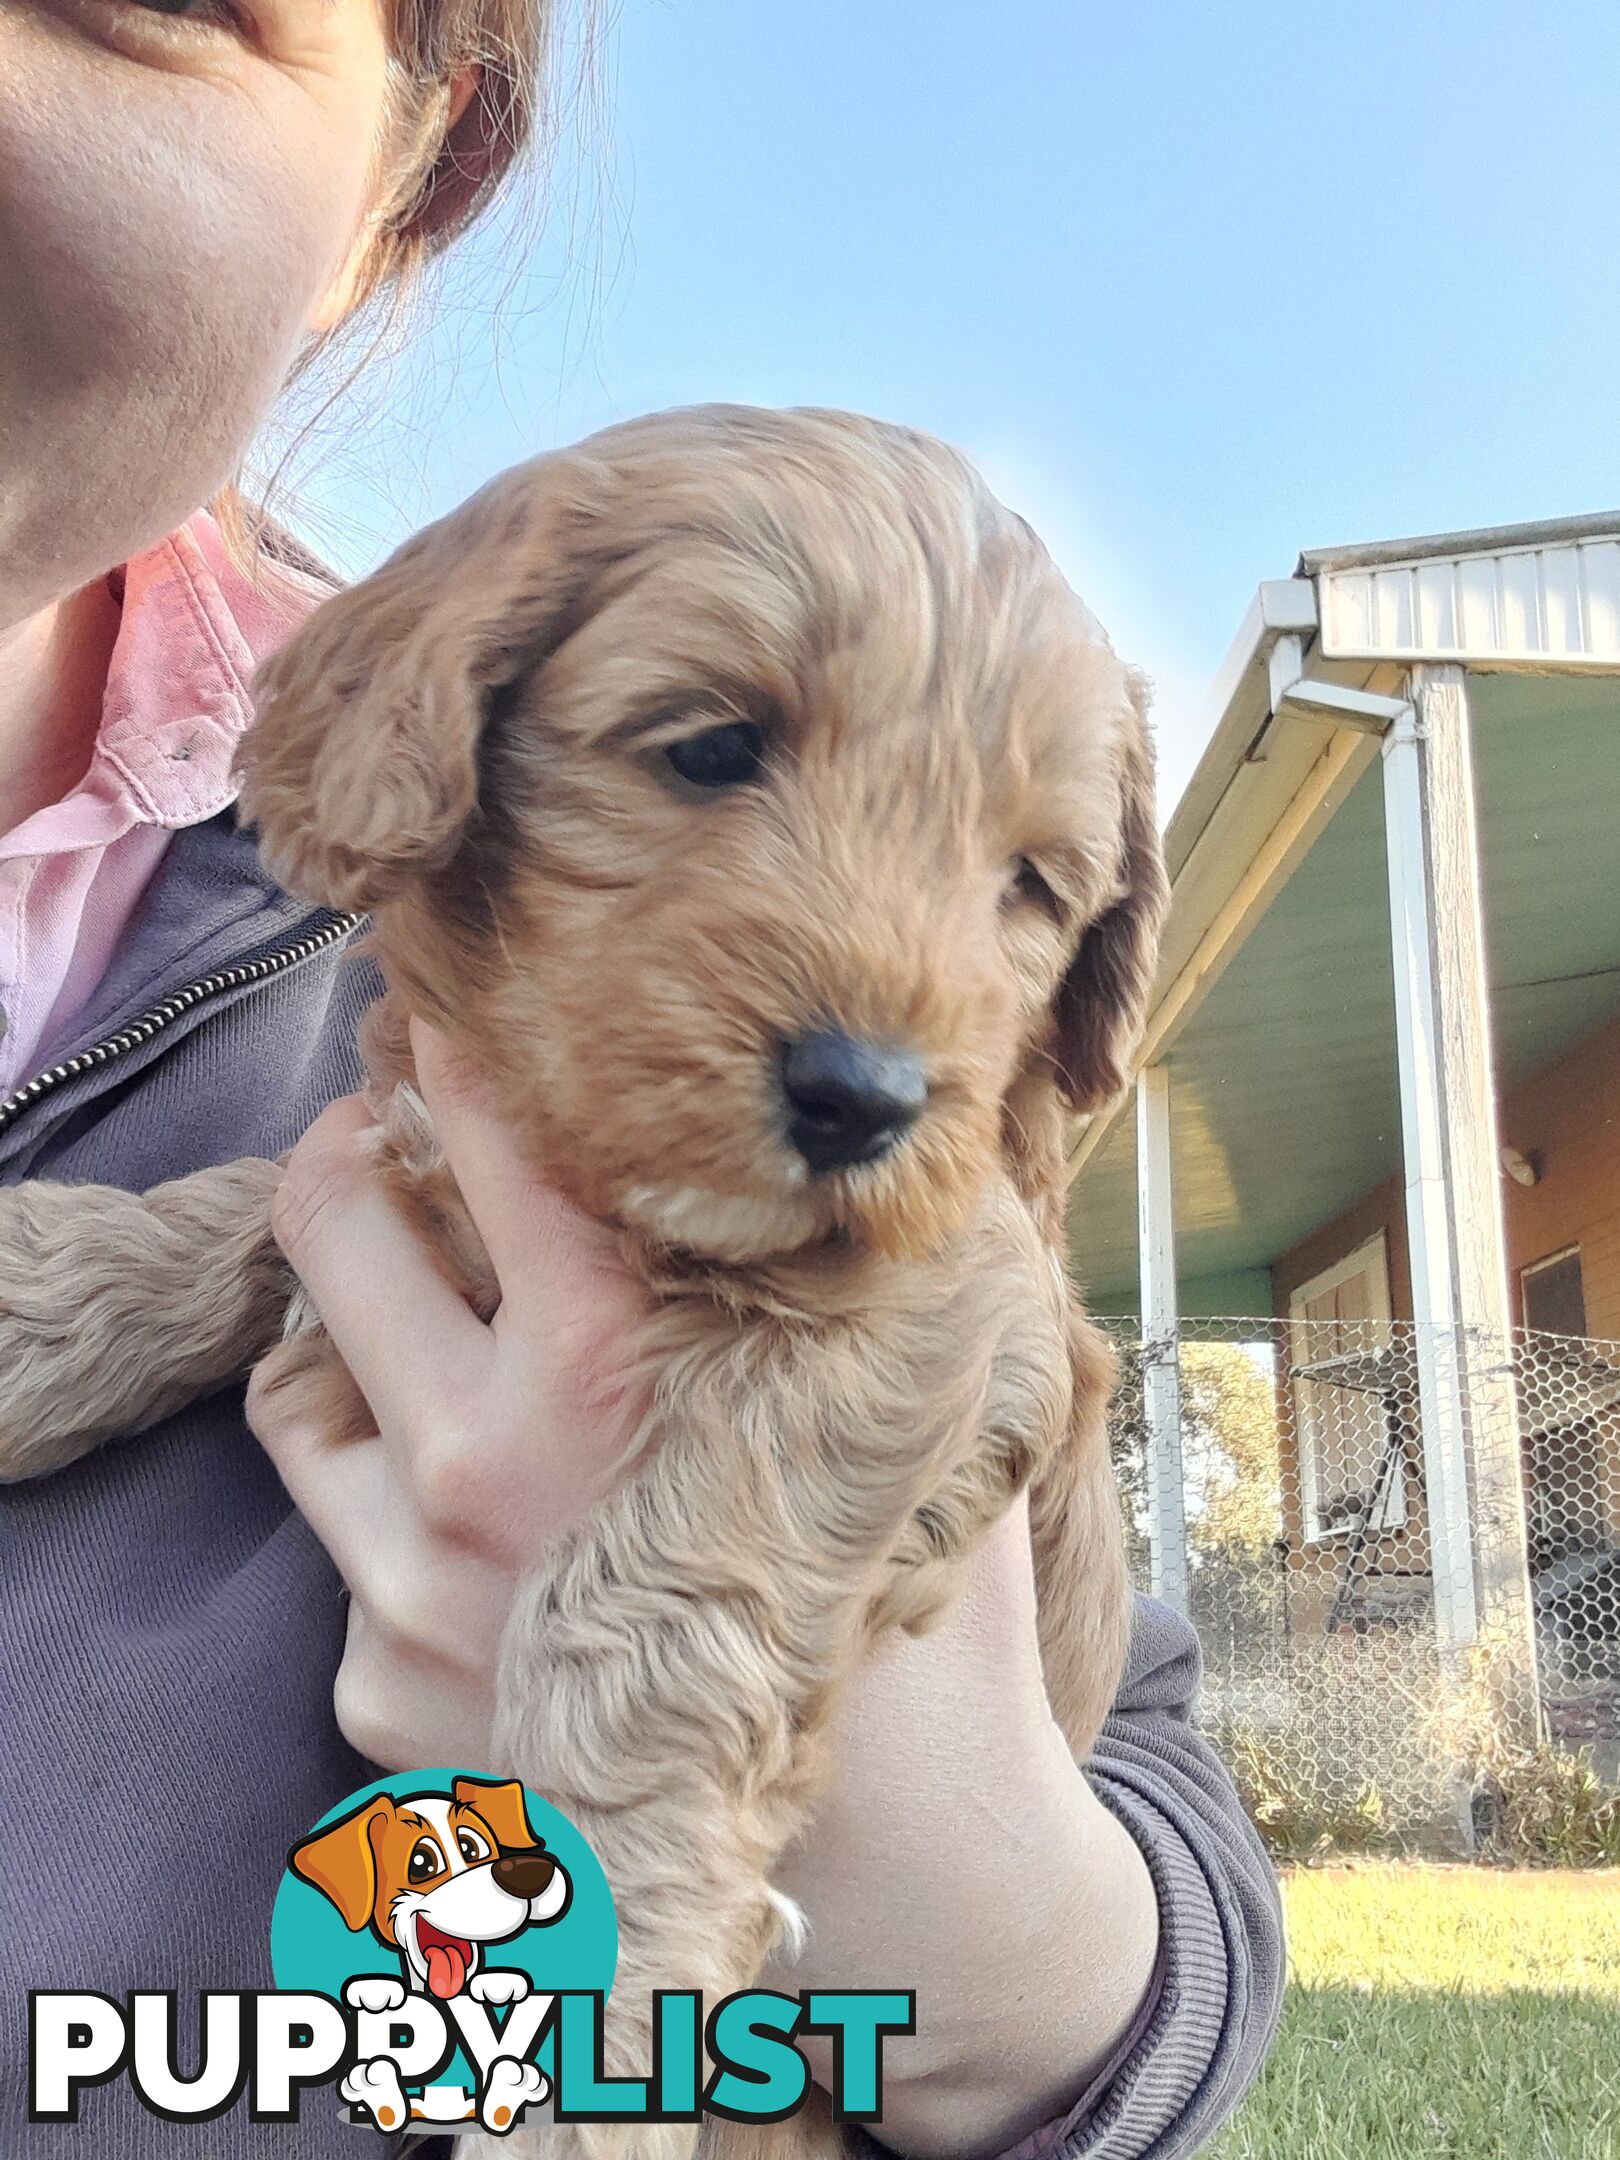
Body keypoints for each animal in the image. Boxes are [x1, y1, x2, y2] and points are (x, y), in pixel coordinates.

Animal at [0, 406, 1166, 2160]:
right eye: (714, 748)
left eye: (1030, 884)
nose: (868, 1098)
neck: (604, 1187)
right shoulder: (416, 1147)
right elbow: (251, 1202)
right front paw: (34, 1301)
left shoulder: (934, 1302)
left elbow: (653, 1602)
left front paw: (605, 1986)